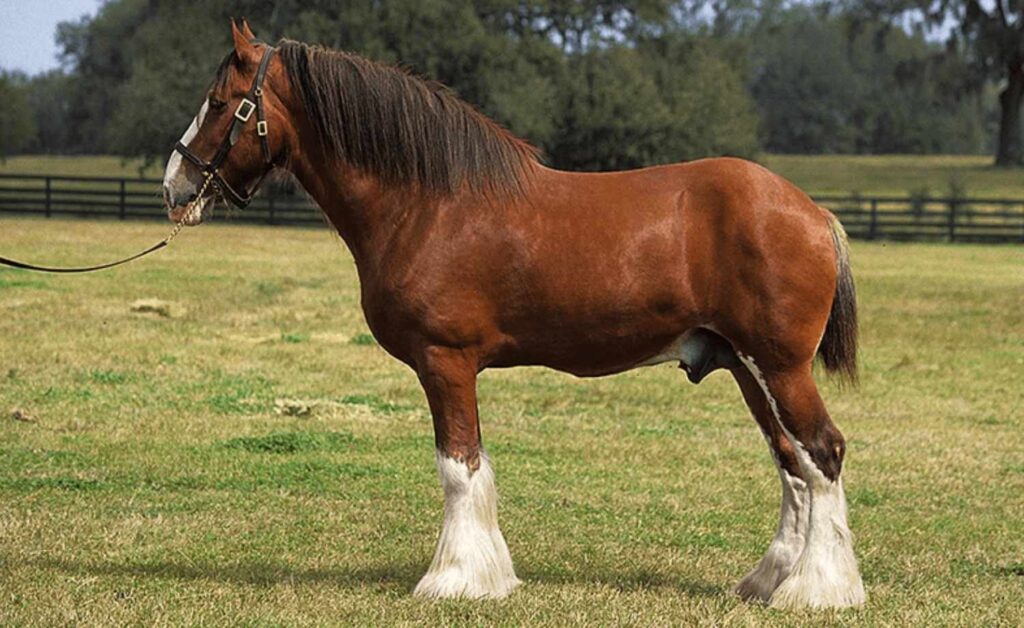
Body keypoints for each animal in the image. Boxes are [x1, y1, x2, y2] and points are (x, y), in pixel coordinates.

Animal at [162, 20, 865, 609]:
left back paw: (820, 592)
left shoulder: (444, 361)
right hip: (748, 368)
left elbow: (459, 466)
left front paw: (456, 580)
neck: (427, 204)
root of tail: (813, 212)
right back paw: (770, 582)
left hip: (778, 367)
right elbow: (471, 466)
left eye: (221, 103)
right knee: (792, 464)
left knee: (822, 454)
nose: (175, 185)